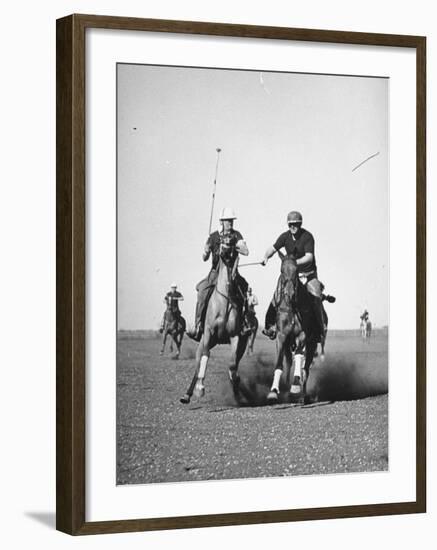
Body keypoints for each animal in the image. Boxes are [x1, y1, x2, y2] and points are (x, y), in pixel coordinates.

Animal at [180, 242, 249, 406]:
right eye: (222, 241)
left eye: (233, 242)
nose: (224, 251)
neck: (224, 301)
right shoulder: (209, 332)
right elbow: (206, 356)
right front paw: (200, 389)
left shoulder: (235, 336)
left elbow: (232, 365)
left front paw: (237, 387)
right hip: (205, 342)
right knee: (198, 365)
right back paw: (188, 394)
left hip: (241, 345)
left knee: (235, 363)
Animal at [266, 256, 320, 408]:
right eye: (281, 270)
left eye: (296, 270)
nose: (289, 293)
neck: (292, 307)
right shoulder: (281, 335)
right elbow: (280, 363)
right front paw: (274, 391)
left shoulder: (302, 335)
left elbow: (299, 359)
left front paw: (295, 387)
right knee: (289, 363)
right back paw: (286, 391)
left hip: (312, 344)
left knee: (305, 369)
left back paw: (302, 396)